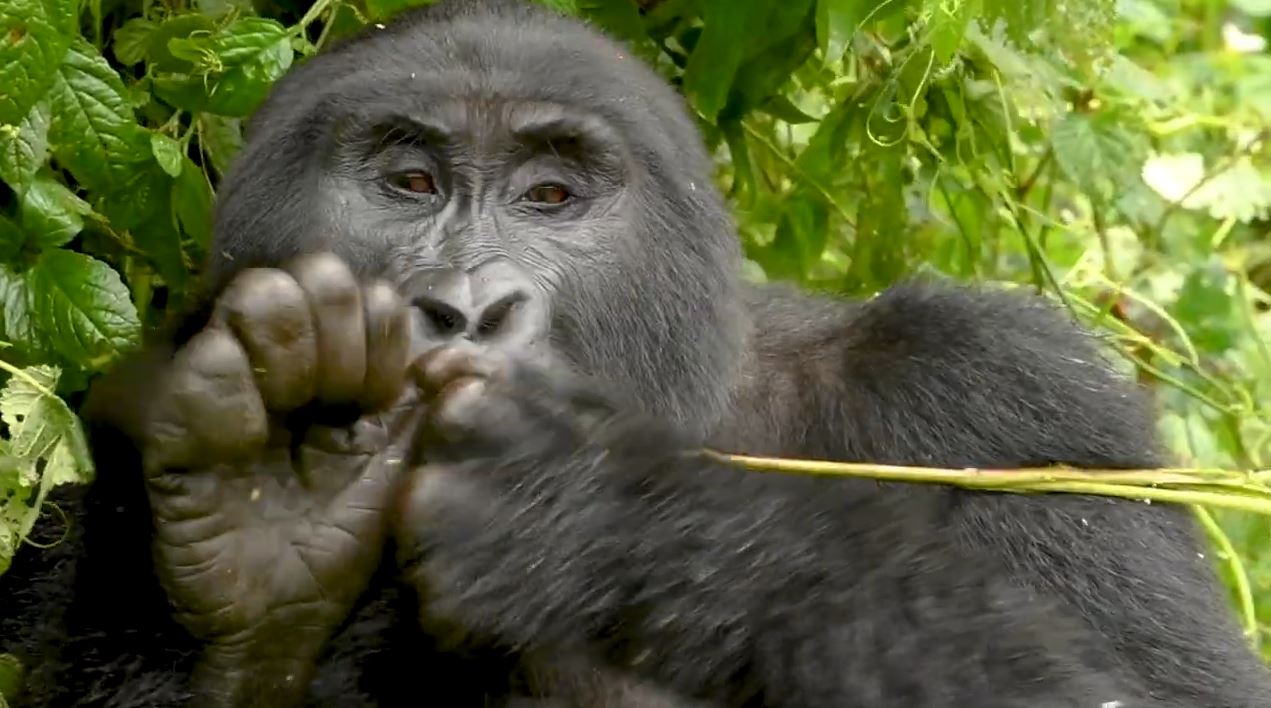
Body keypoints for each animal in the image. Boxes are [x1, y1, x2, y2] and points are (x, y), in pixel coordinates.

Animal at [2, 0, 1271, 701]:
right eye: (408, 183)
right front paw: (264, 526)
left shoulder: (995, 396)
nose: (466, 306)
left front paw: (599, 519)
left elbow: (1149, 695)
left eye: (550, 196)